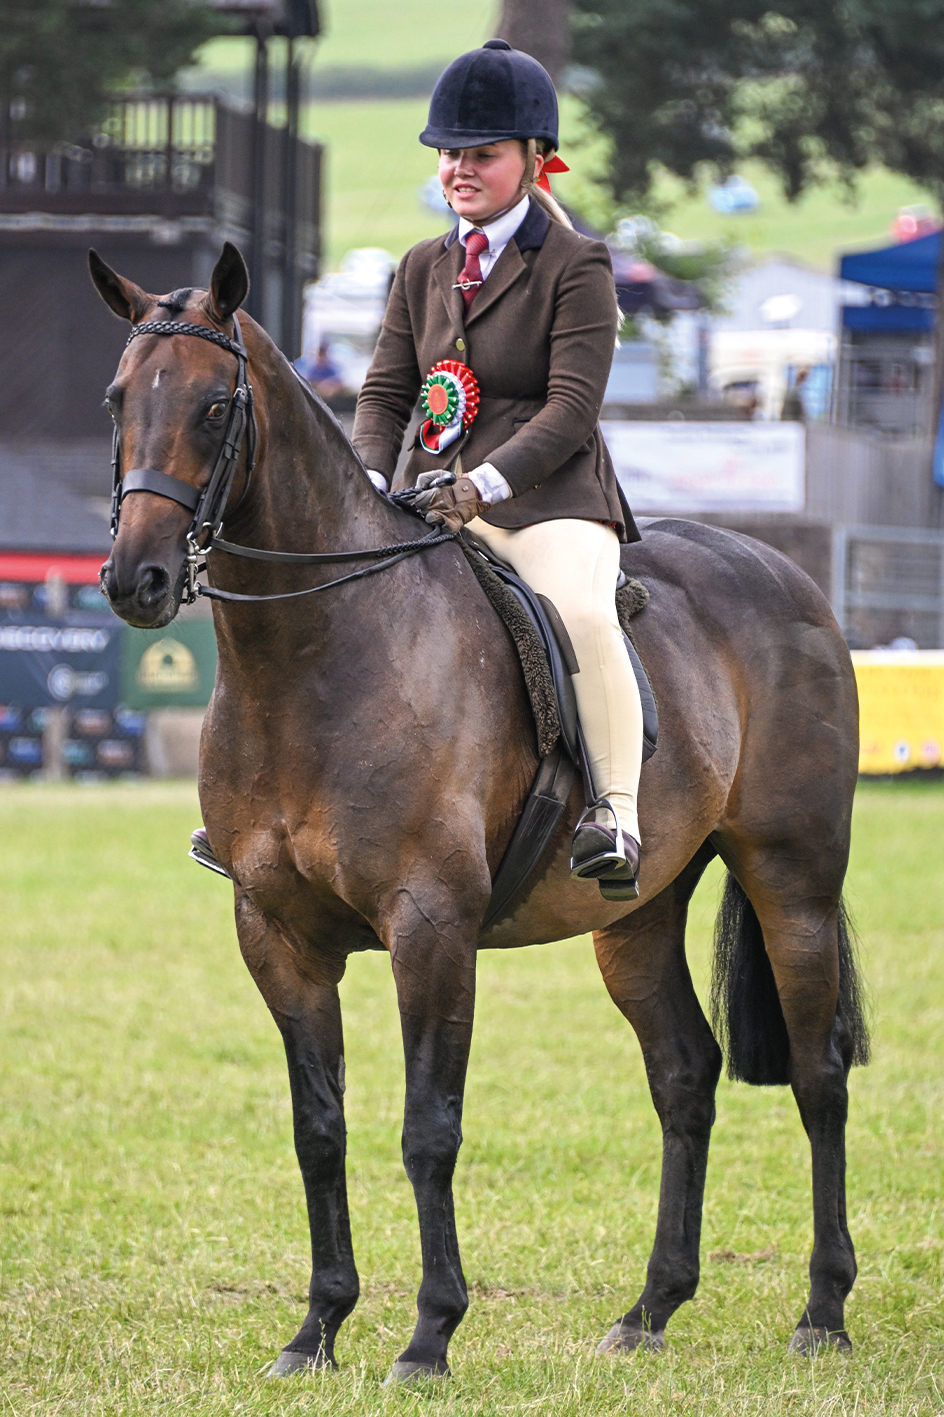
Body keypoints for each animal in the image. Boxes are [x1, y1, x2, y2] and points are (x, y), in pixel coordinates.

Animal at [89, 242, 868, 1381]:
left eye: (215, 402)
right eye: (117, 400)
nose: (135, 581)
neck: (317, 655)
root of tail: (788, 576)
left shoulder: (431, 928)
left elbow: (429, 1127)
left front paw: (427, 1334)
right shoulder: (274, 932)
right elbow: (318, 1128)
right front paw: (316, 1329)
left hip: (791, 881)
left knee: (817, 1076)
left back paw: (822, 1310)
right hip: (637, 914)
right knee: (684, 1074)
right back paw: (649, 1309)